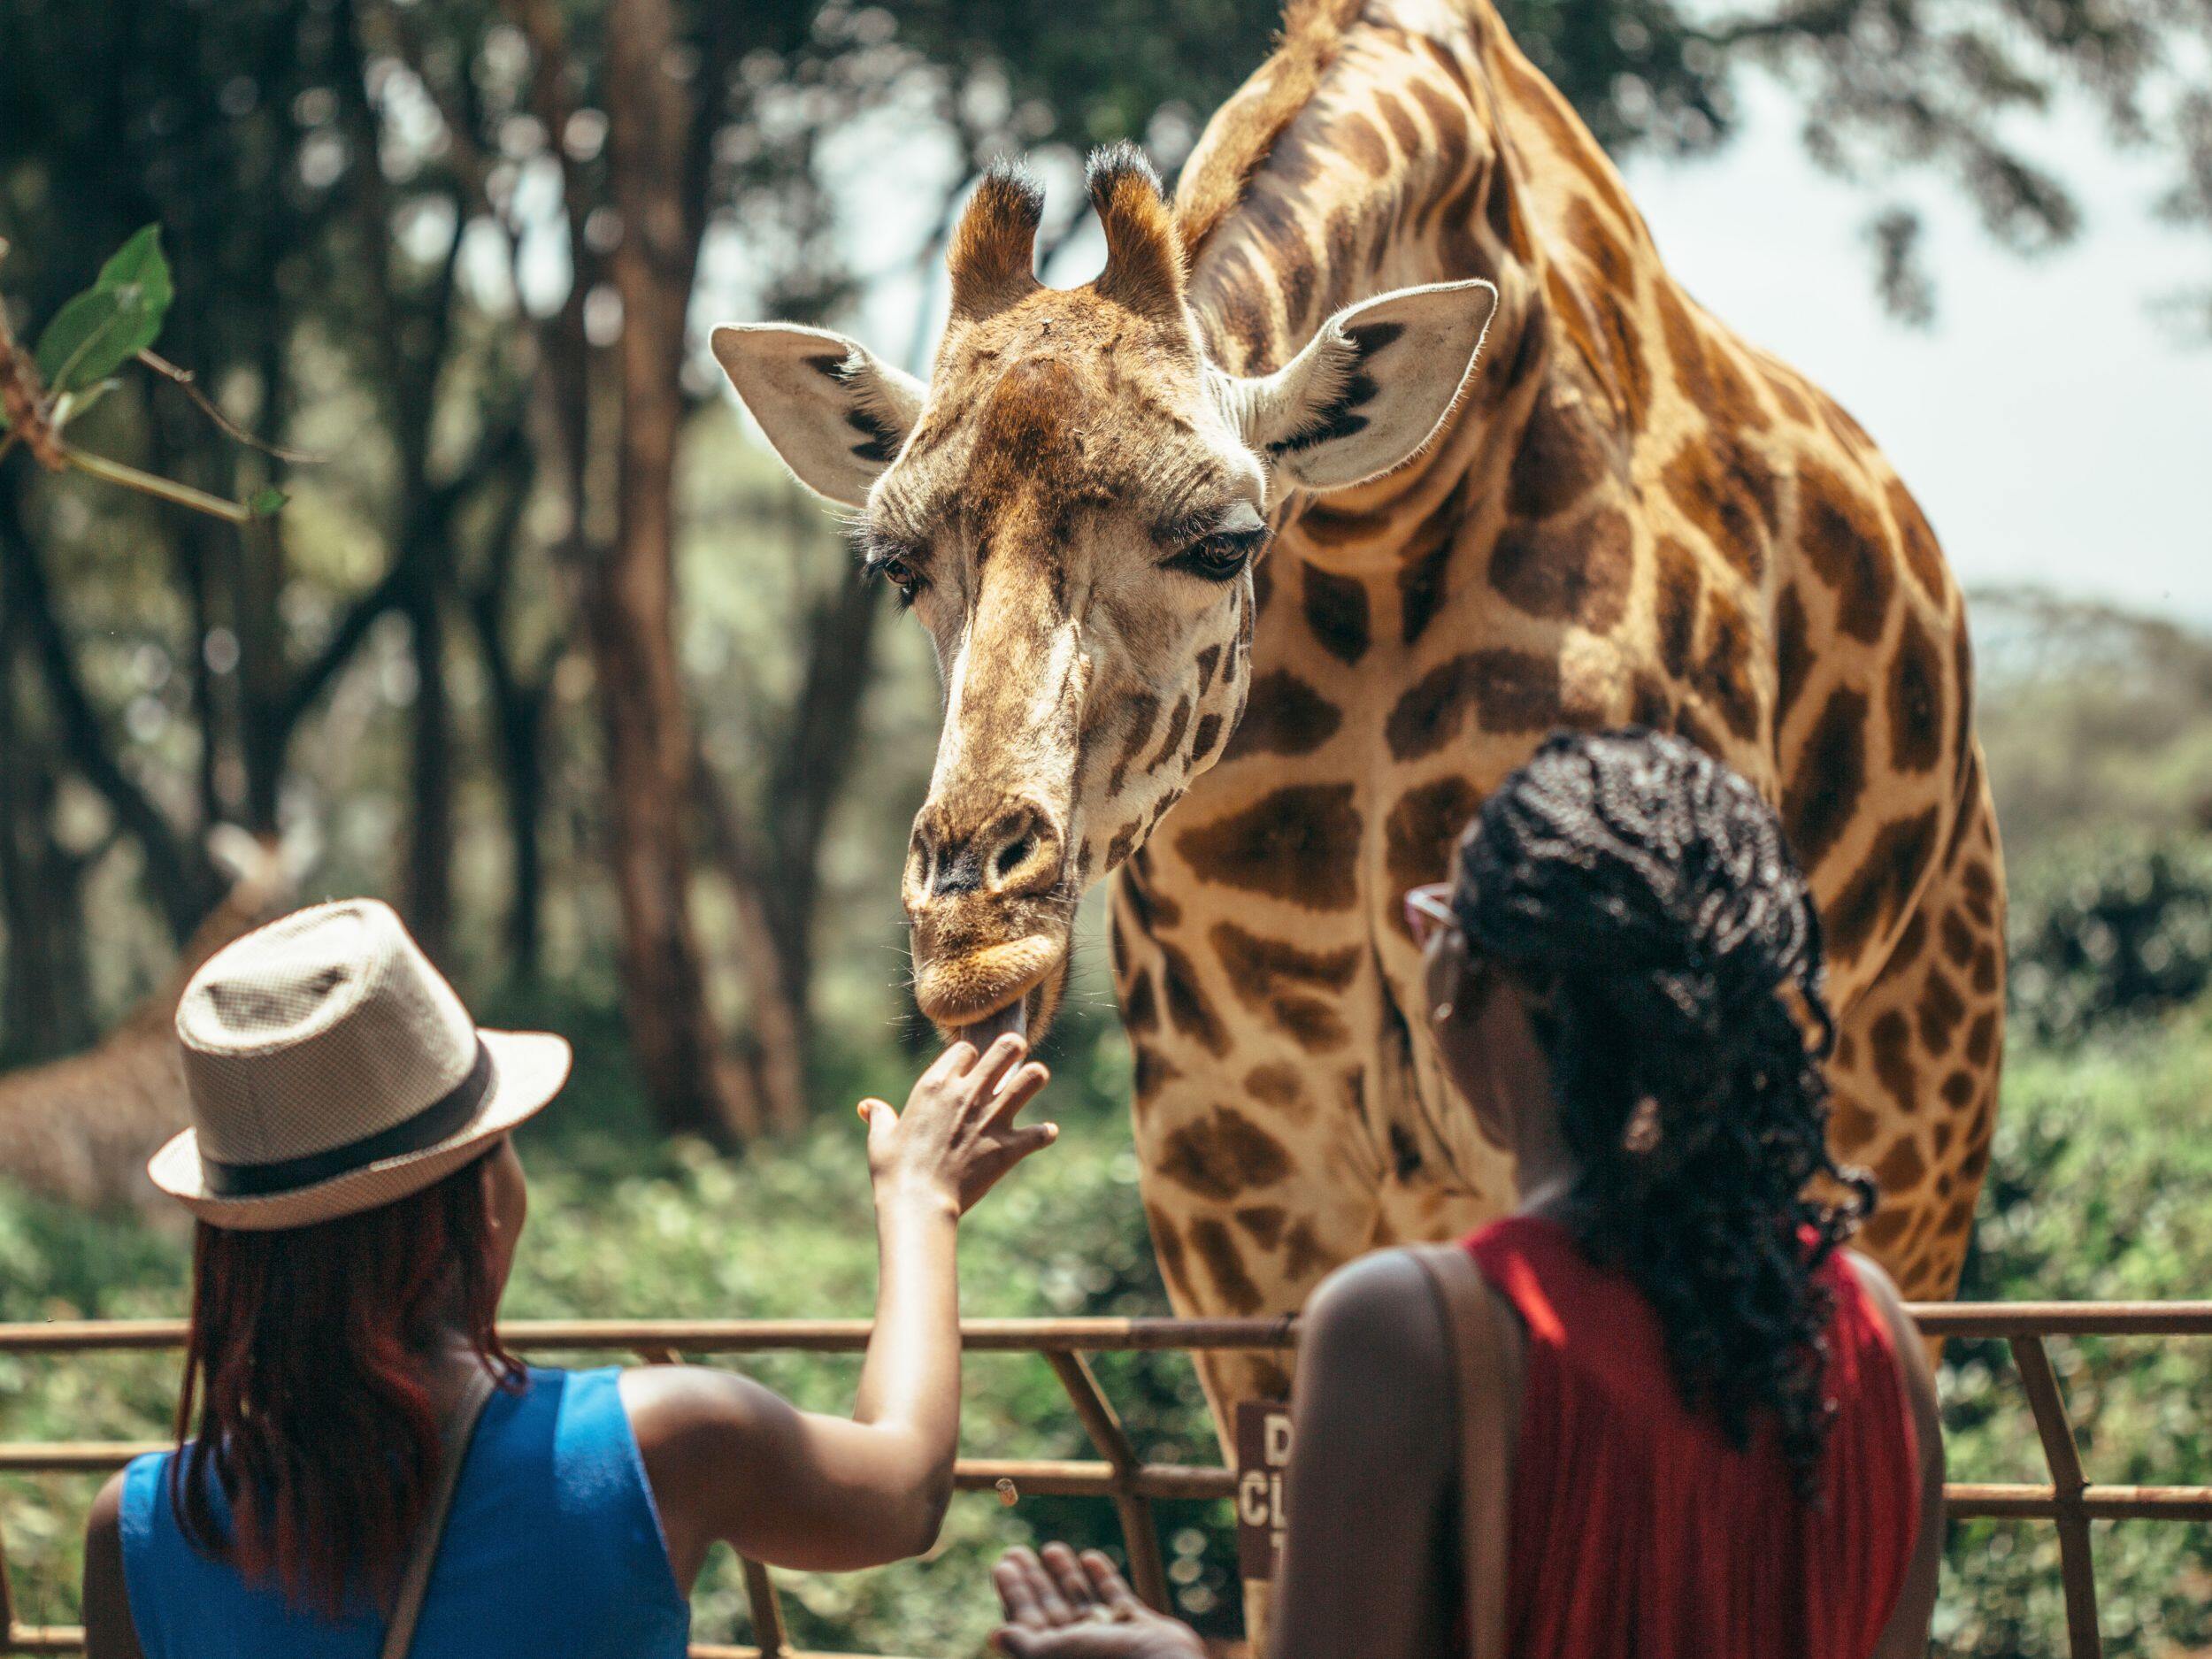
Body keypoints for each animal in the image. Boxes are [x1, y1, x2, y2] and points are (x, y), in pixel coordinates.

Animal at [726, 0, 2008, 1513]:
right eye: (894, 564)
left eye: (1224, 540)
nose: (974, 933)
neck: (1379, 537)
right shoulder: (1237, 1166)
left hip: (1912, 1127)